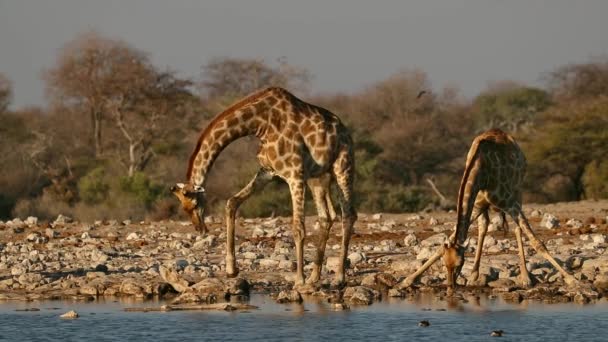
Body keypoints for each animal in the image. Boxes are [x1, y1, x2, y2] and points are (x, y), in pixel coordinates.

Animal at [171, 86, 356, 286]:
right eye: (184, 208)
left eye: (194, 204)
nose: (200, 229)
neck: (261, 123)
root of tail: (345, 131)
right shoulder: (268, 171)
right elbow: (232, 202)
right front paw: (231, 269)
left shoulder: (295, 175)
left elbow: (298, 228)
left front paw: (298, 281)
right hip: (318, 177)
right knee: (326, 216)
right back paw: (314, 277)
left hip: (343, 167)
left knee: (348, 215)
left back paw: (338, 278)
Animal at [396, 128, 576, 294]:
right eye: (444, 264)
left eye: (460, 263)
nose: (450, 288)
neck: (482, 169)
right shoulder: (477, 205)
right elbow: (449, 241)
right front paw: (408, 280)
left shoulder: (510, 203)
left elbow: (537, 242)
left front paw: (571, 279)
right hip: (489, 206)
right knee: (484, 227)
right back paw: (474, 275)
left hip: (518, 191)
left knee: (517, 229)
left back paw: (525, 278)